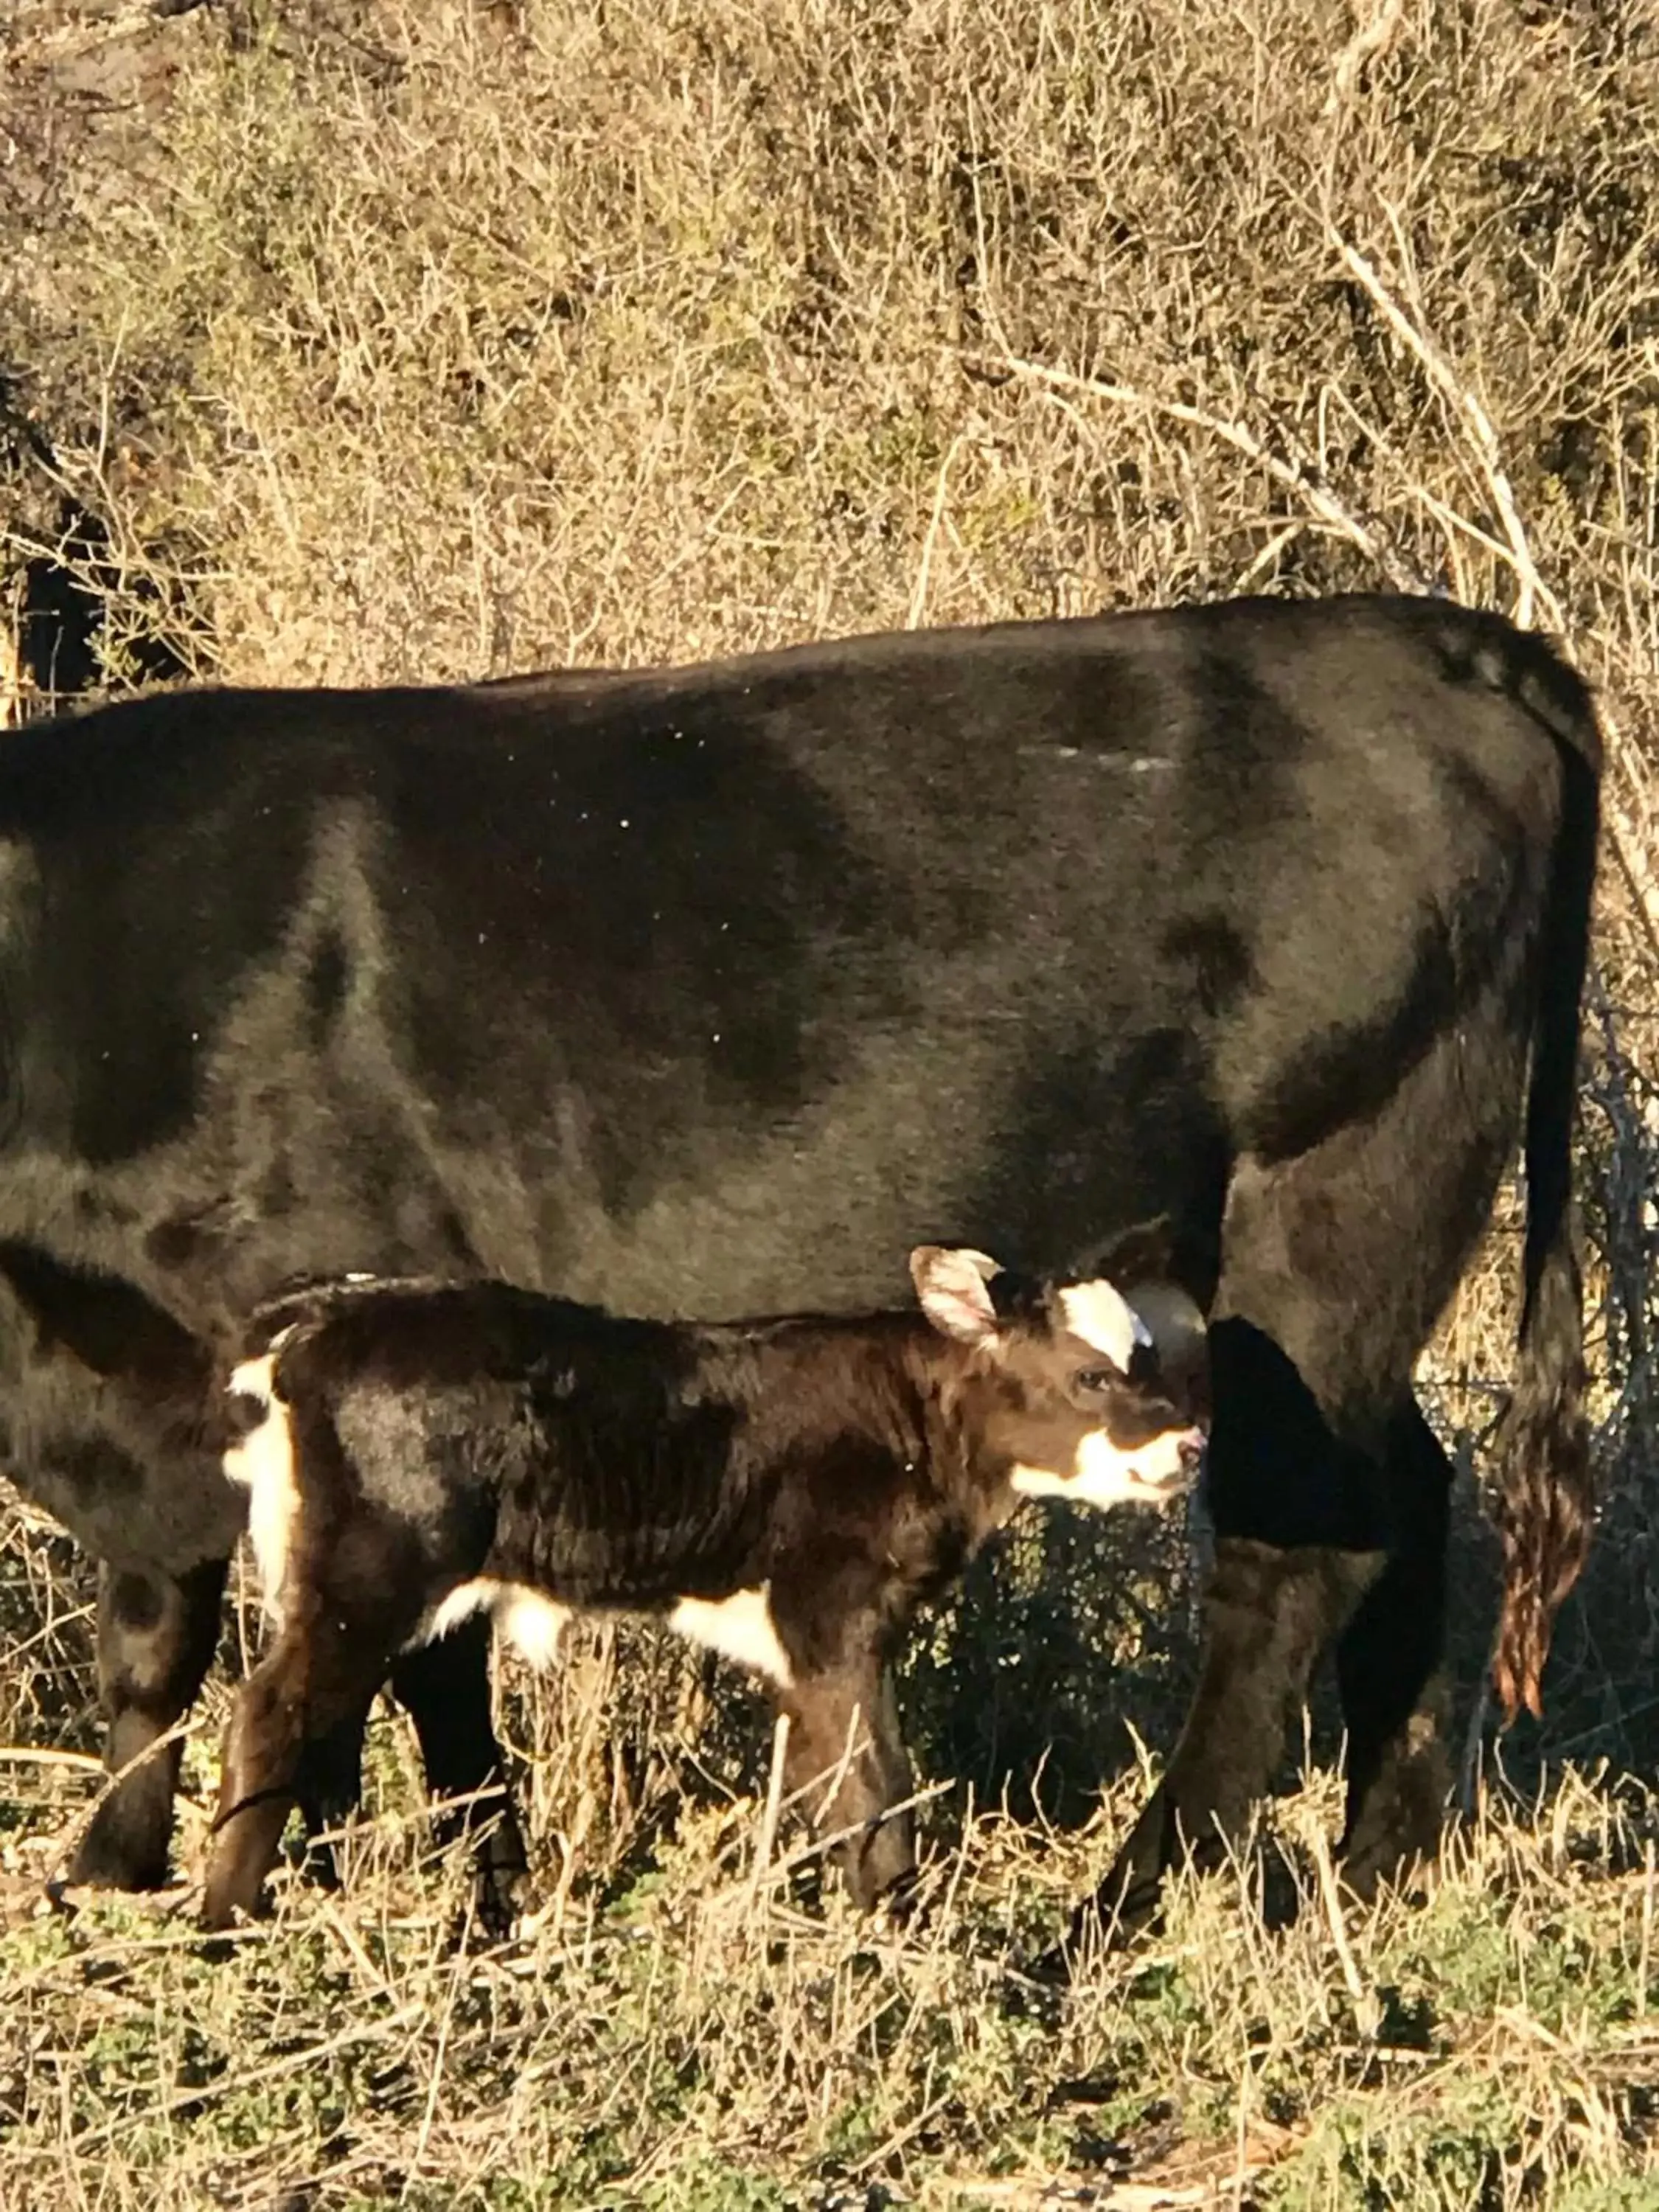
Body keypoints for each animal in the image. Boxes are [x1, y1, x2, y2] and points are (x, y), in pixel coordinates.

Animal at [0, 597, 1601, 1947]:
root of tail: (1433, 635)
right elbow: (159, 1644)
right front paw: (122, 1874)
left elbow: (382, 1658)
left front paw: (380, 1894)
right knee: (1409, 1501)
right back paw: (1378, 1869)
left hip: (1339, 1197)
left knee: (1297, 1548)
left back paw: (1132, 1903)